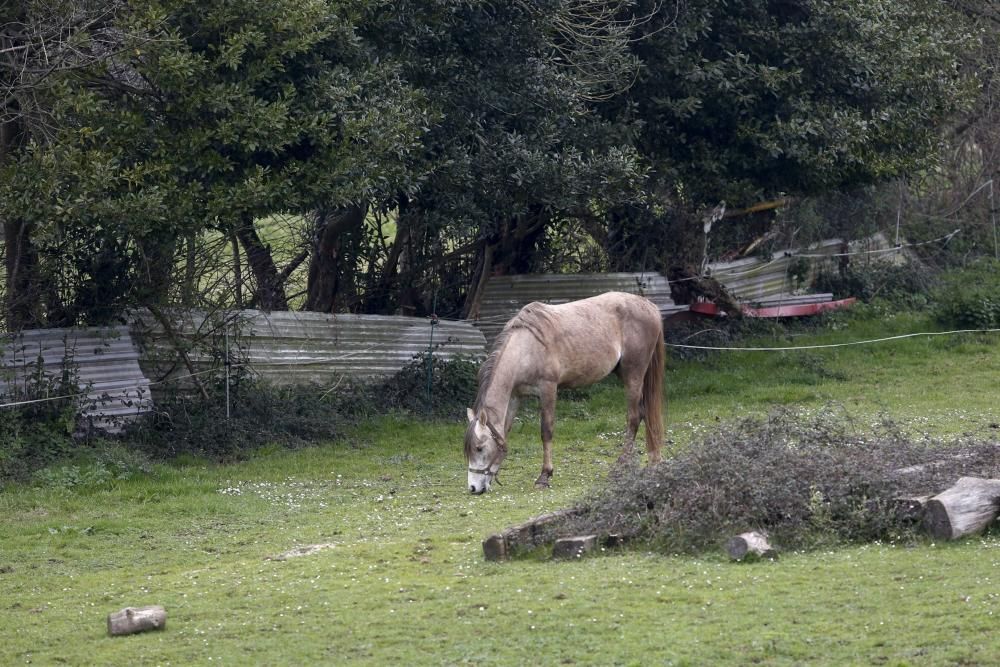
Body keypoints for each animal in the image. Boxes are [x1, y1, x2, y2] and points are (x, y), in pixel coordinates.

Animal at [466, 294, 668, 496]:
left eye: (479, 448)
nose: (473, 488)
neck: (526, 347)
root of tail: (649, 306)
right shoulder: (516, 396)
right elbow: (505, 431)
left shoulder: (548, 389)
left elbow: (546, 431)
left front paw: (544, 476)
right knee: (646, 414)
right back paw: (654, 460)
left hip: (633, 375)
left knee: (634, 418)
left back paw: (621, 466)